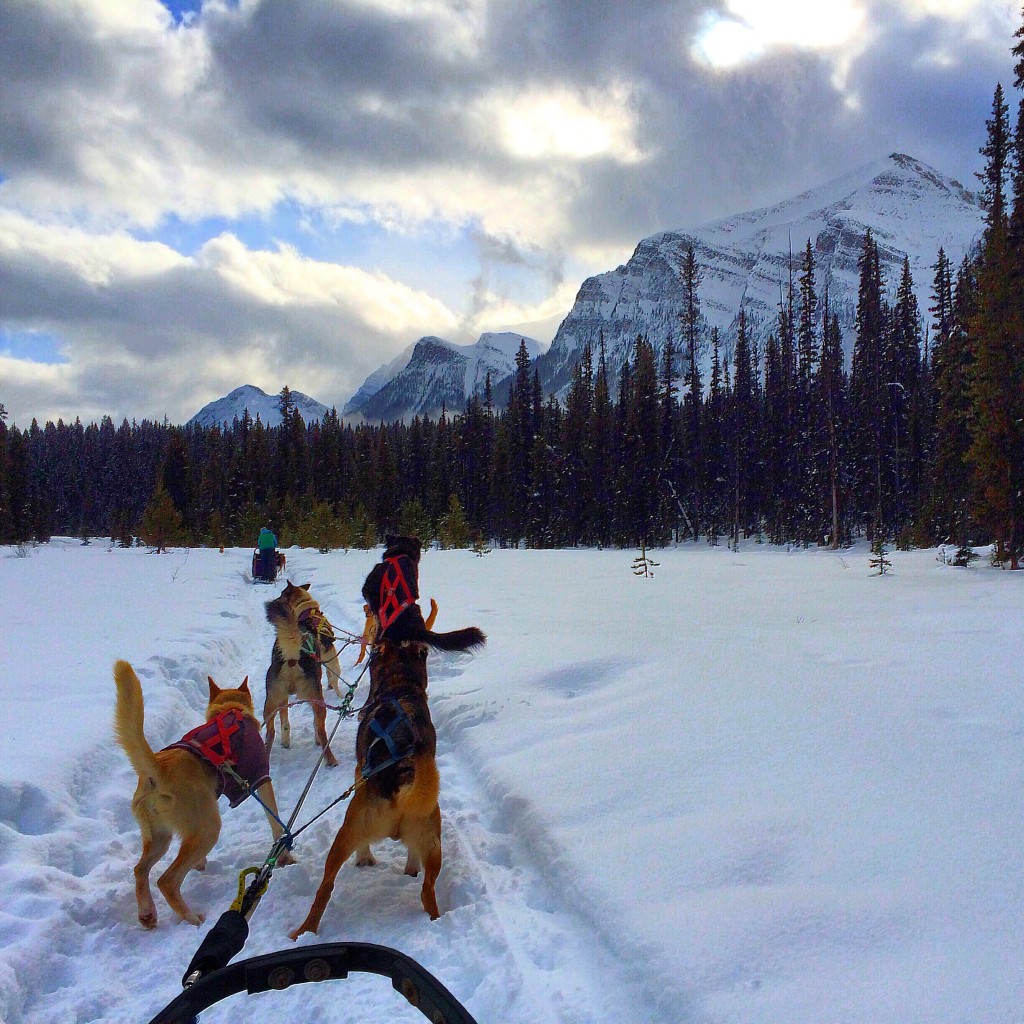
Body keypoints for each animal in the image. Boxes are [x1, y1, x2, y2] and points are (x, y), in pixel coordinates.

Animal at [264, 585, 344, 770]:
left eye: (281, 594)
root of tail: (292, 658)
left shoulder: (283, 699)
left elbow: (285, 722)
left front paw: (285, 742)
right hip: (317, 699)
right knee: (321, 729)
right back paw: (330, 759)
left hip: (270, 703)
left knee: (270, 732)